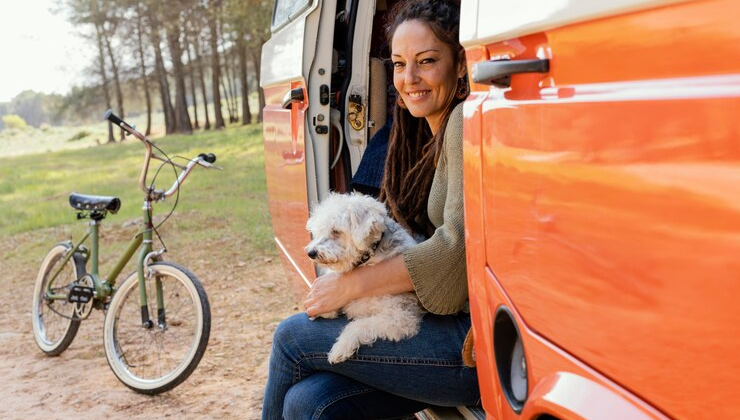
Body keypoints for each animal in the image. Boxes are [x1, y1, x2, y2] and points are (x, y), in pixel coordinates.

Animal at [304, 192, 424, 362]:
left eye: (336, 231)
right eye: (320, 231)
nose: (311, 253)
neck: (367, 261)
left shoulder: (400, 318)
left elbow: (359, 325)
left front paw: (342, 346)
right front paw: (325, 310)